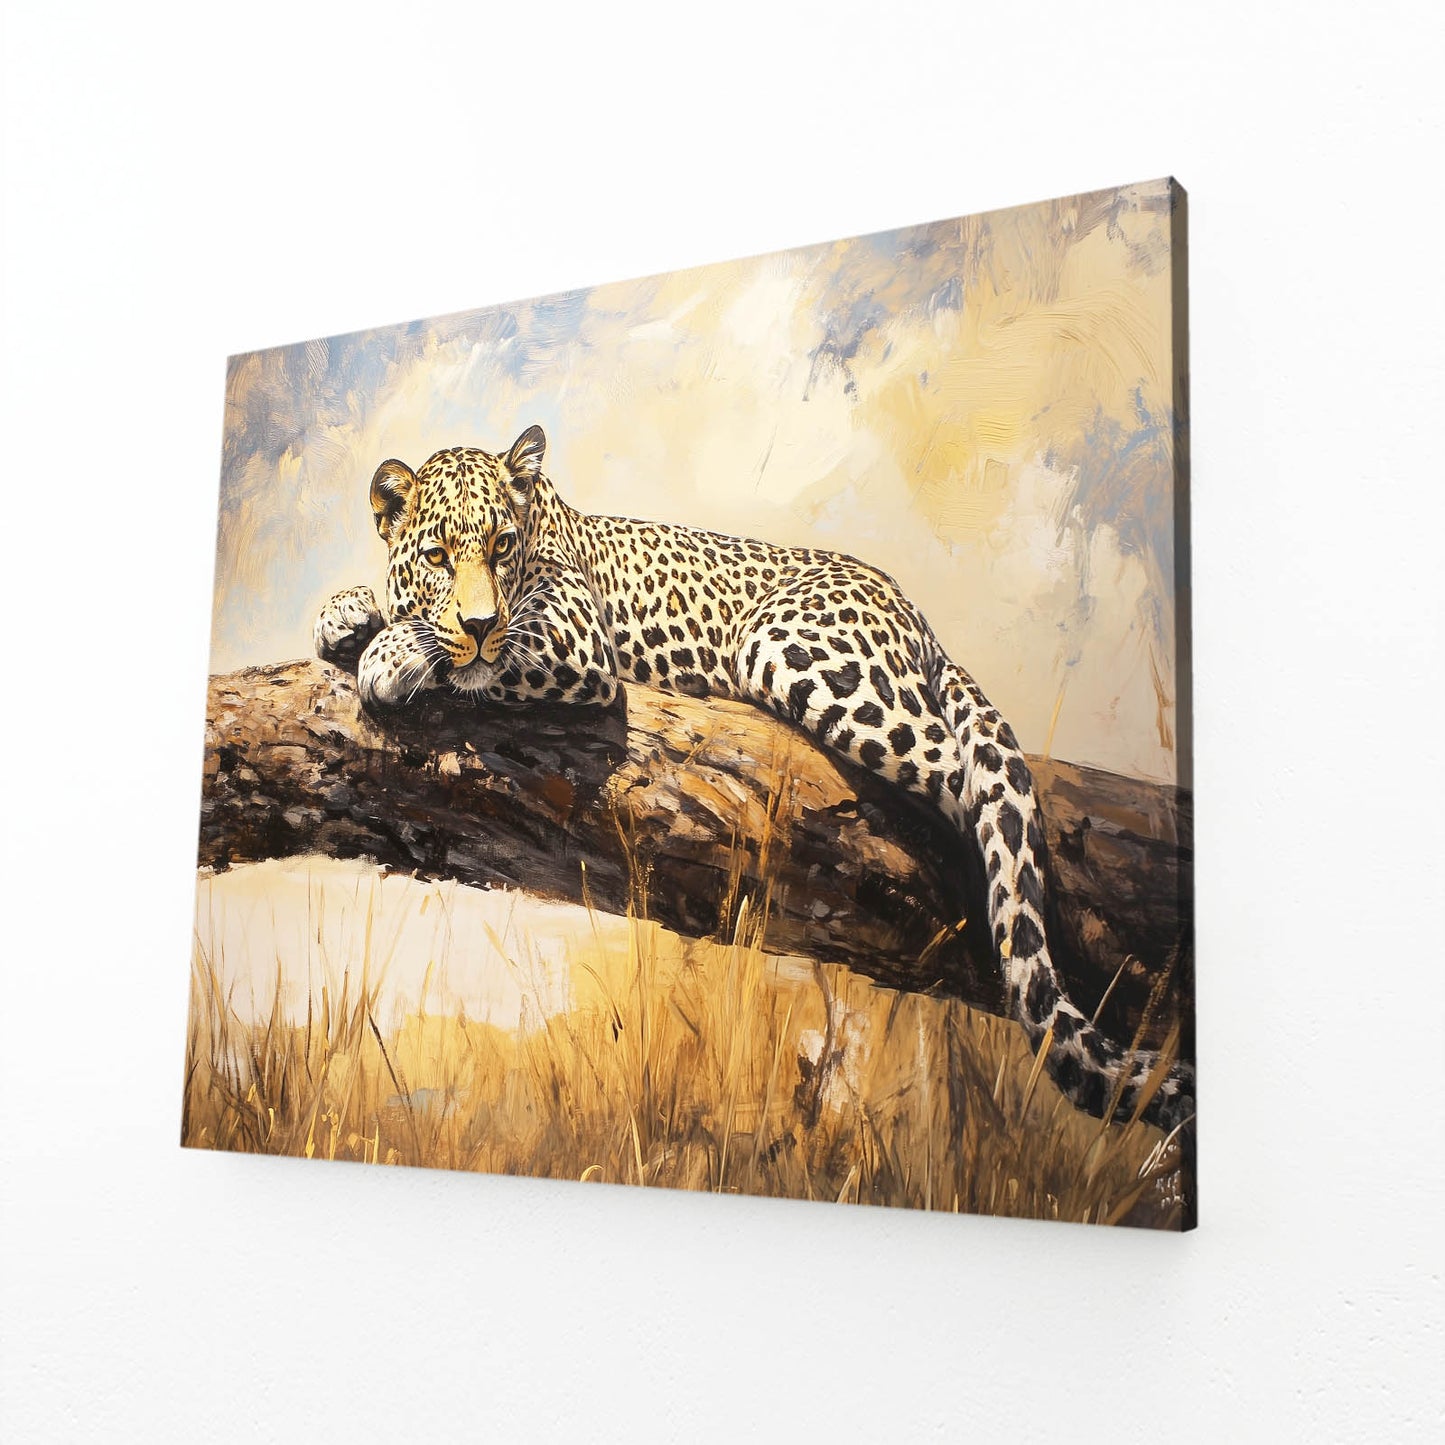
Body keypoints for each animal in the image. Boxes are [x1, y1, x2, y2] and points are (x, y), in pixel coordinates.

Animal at [314, 425, 1195, 1132]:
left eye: (500, 546)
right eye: (437, 555)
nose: (477, 619)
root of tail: (911, 609)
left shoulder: (569, 635)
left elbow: (475, 659)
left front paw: (392, 651)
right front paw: (347, 610)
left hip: (795, 648)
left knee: (974, 787)